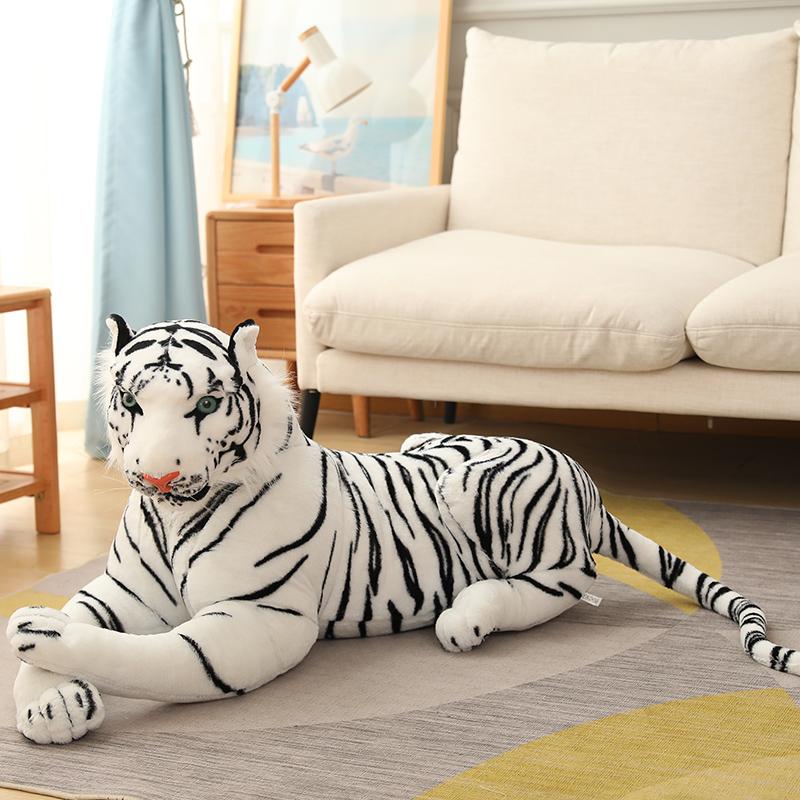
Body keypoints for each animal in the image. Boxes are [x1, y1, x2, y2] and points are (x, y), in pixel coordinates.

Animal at [7, 317, 798, 744]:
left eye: (203, 405)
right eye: (132, 404)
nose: (156, 477)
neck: (173, 519)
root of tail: (584, 476)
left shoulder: (257, 620)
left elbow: (157, 655)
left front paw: (35, 629)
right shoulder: (123, 588)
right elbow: (86, 613)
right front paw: (51, 700)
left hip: (482, 491)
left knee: (570, 580)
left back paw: (467, 618)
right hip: (427, 443)